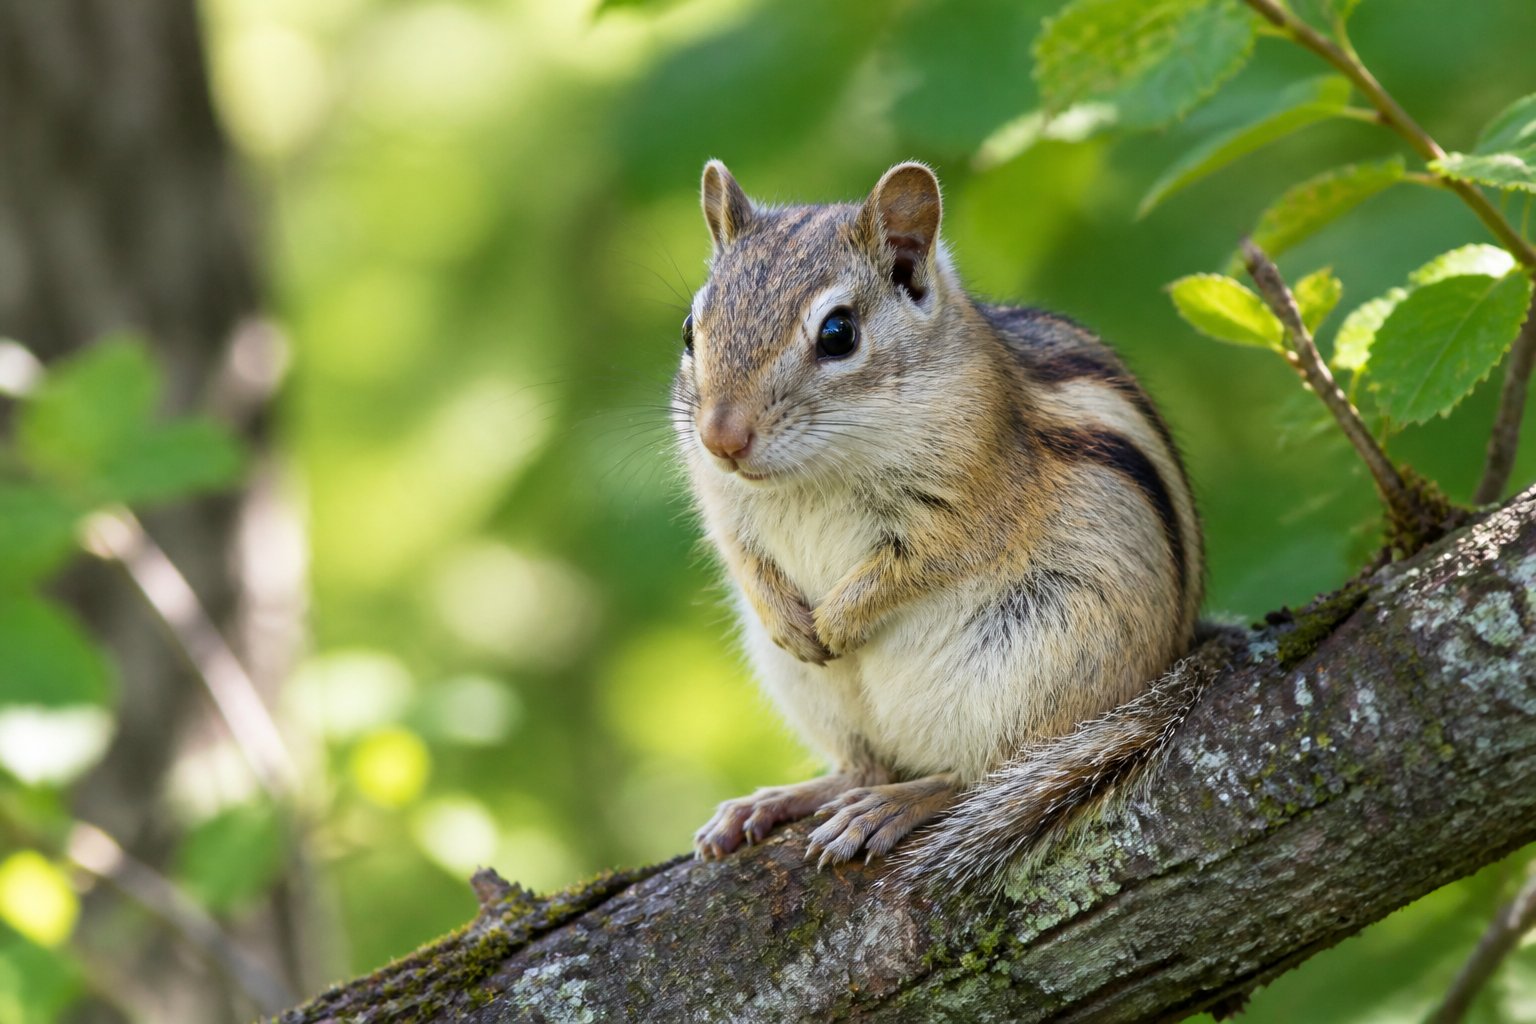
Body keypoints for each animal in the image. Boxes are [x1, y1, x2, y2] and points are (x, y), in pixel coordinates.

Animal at [674, 159, 1206, 886]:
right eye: (689, 331)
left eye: (838, 333)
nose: (720, 438)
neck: (813, 475)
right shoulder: (724, 504)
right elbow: (740, 554)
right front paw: (794, 623)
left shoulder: (971, 495)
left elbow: (922, 560)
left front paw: (837, 622)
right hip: (814, 693)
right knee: (864, 763)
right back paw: (782, 800)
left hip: (1038, 673)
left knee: (983, 776)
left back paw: (895, 804)